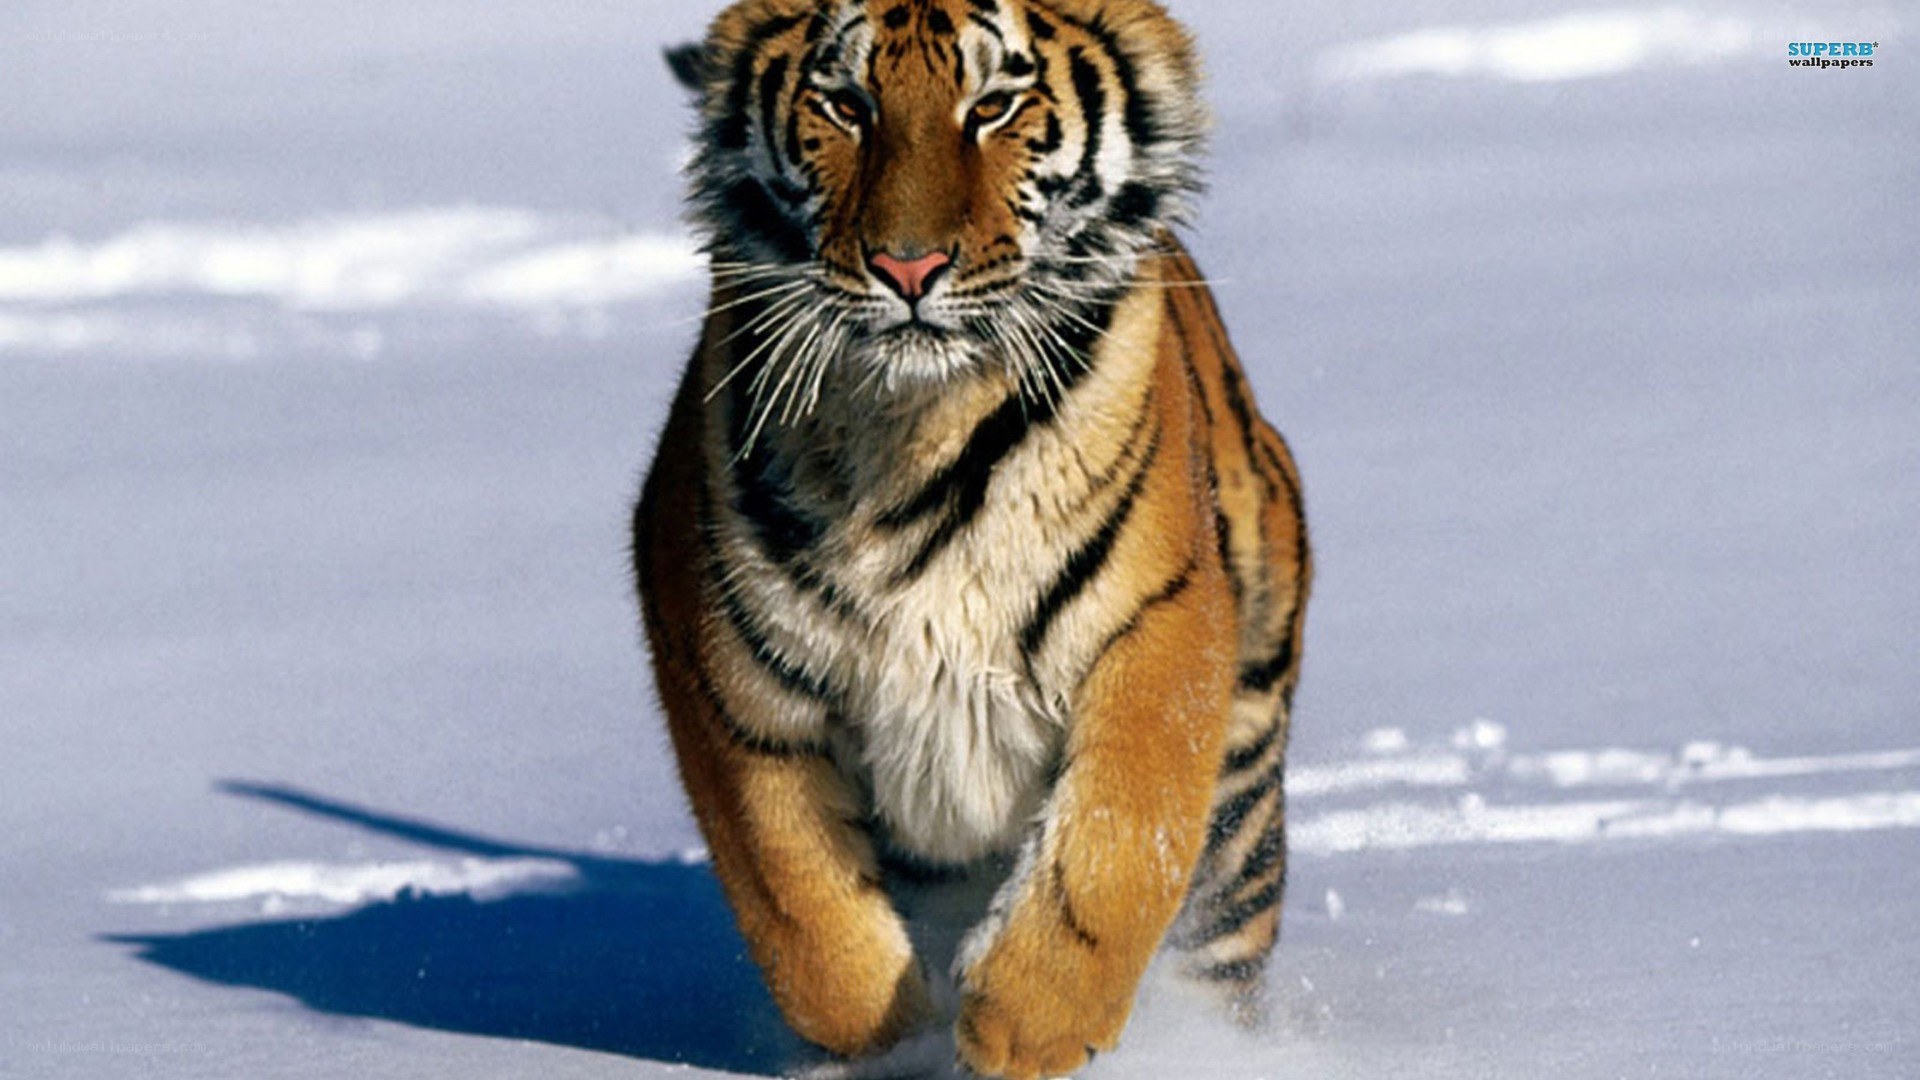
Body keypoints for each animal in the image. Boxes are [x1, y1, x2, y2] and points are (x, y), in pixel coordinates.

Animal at [631, 1, 1309, 1076]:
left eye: (993, 105)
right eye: (845, 103)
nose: (908, 268)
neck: (915, 425)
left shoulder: (1158, 626)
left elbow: (1118, 843)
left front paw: (1022, 1028)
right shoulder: (724, 670)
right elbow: (798, 905)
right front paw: (893, 1035)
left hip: (1243, 789)